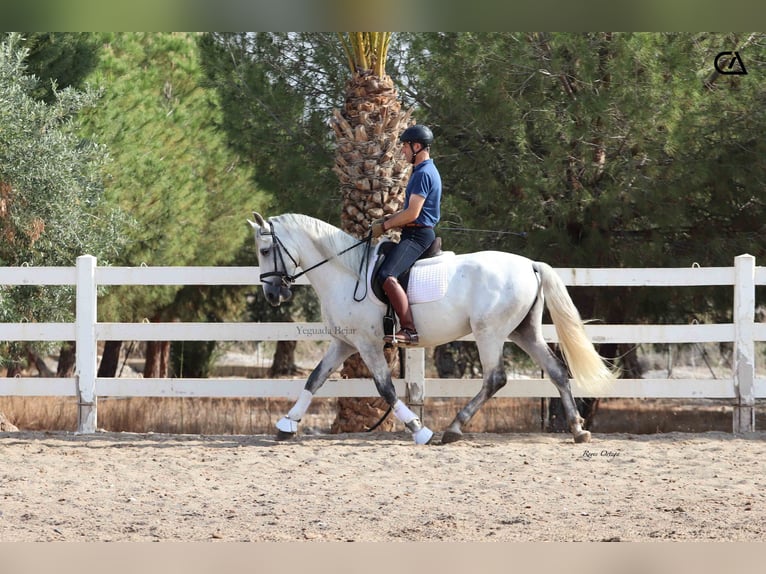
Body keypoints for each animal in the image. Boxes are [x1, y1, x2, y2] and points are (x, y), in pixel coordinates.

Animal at [250, 214, 616, 448]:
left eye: (265, 251)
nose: (273, 294)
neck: (346, 272)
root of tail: (530, 264)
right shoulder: (344, 342)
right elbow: (315, 379)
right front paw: (286, 425)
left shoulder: (367, 344)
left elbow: (386, 389)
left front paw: (419, 430)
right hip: (524, 332)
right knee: (556, 371)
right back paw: (577, 430)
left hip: (490, 332)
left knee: (495, 379)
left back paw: (453, 428)